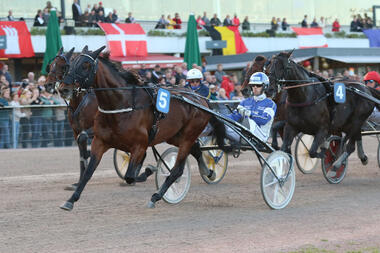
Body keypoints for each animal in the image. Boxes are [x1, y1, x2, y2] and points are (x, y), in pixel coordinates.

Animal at [45, 47, 98, 190]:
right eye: (50, 66)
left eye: (63, 66)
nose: (47, 85)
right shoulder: (76, 132)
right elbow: (81, 155)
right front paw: (78, 182)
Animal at [58, 46, 227, 211]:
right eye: (70, 65)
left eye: (85, 65)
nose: (63, 88)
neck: (122, 104)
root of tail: (202, 100)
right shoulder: (100, 142)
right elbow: (88, 172)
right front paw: (70, 200)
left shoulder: (140, 145)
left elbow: (129, 176)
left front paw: (149, 170)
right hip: (174, 135)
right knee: (196, 149)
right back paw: (209, 172)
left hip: (188, 135)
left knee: (177, 169)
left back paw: (156, 196)